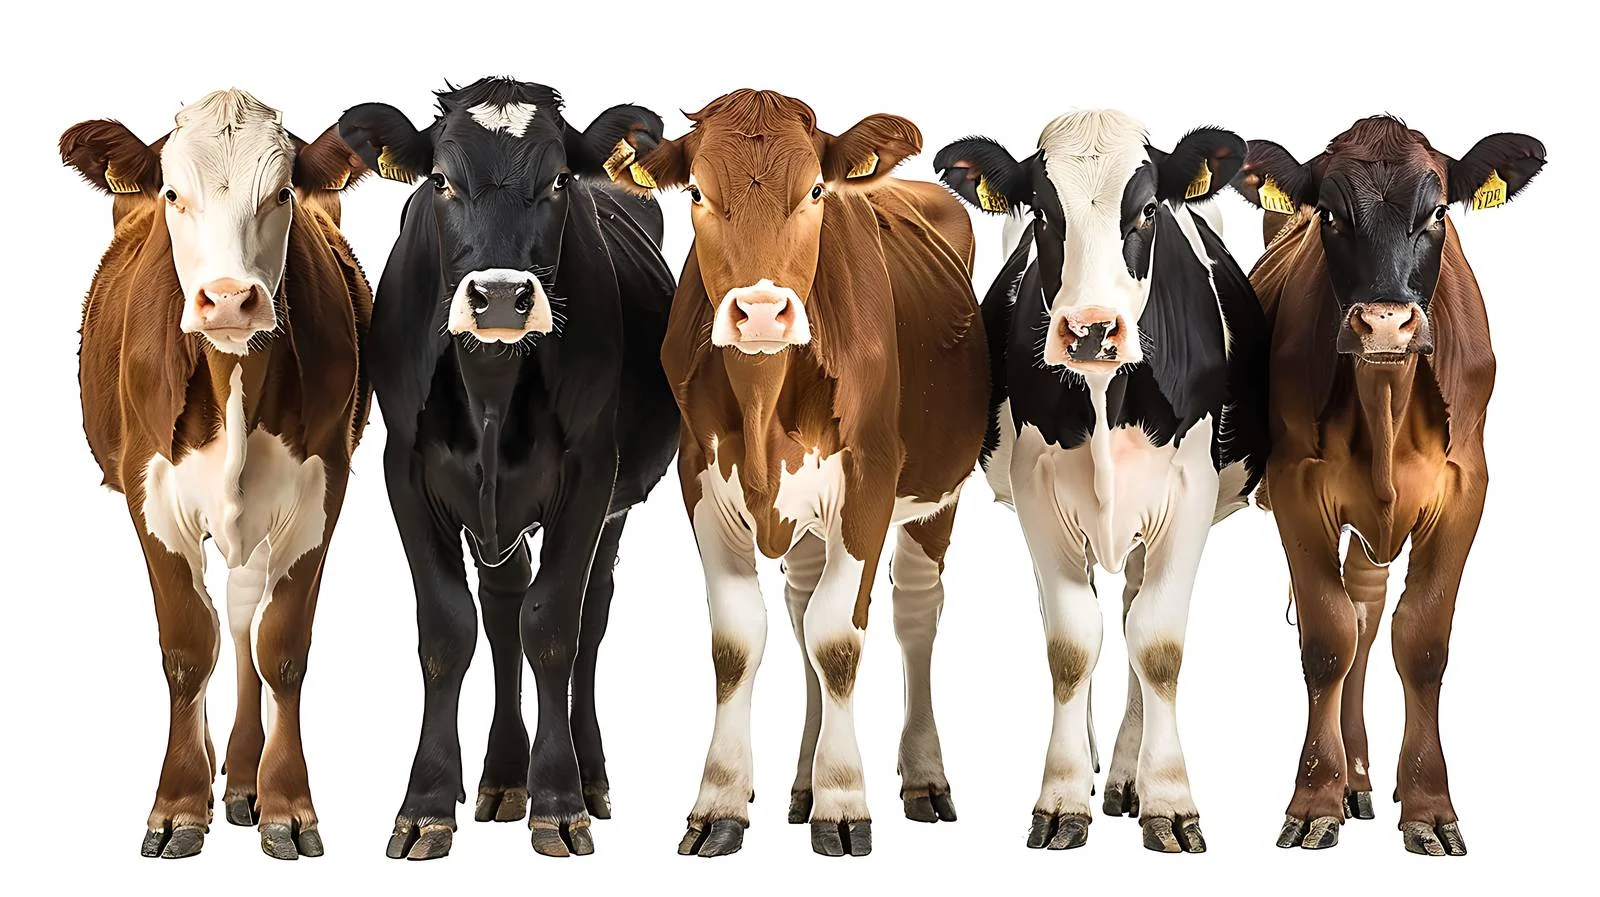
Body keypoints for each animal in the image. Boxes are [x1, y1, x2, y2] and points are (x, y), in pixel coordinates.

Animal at [61, 89, 372, 860]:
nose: (229, 299)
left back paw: (240, 772)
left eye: (283, 192)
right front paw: (177, 805)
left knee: (239, 612)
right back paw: (207, 772)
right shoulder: (150, 492)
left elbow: (279, 647)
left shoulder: (323, 486)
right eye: (173, 193)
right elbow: (185, 646)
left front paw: (285, 803)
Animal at [335, 78, 680, 860]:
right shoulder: (405, 470)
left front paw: (558, 800)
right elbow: (448, 629)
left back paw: (588, 775)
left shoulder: (590, 473)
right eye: (441, 179)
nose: (497, 297)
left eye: (556, 180)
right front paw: (428, 803)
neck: (490, 383)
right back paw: (499, 776)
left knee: (588, 615)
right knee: (500, 609)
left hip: (615, 503)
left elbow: (553, 627)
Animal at [610, 89, 988, 857]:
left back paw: (922, 777)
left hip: (938, 494)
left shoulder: (871, 480)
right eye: (697, 192)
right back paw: (803, 782)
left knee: (914, 614)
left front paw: (844, 801)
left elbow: (838, 639)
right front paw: (722, 800)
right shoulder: (700, 480)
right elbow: (739, 641)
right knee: (800, 606)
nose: (760, 313)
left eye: (815, 189)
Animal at [935, 111, 1270, 853]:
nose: (1089, 331)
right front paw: (1062, 796)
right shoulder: (1038, 494)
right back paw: (1096, 766)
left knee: (1135, 616)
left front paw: (1168, 798)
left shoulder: (1189, 495)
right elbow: (1070, 644)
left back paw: (1127, 774)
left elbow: (1158, 644)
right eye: (1042, 212)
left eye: (1146, 210)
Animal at [1226, 116, 1545, 855]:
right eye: (1330, 215)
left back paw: (1366, 776)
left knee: (1371, 618)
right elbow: (1326, 641)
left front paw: (1429, 805)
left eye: (1437, 214)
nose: (1384, 325)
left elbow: (1421, 642)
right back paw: (1350, 780)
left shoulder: (1465, 489)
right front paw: (1315, 799)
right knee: (1355, 622)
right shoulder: (1295, 486)